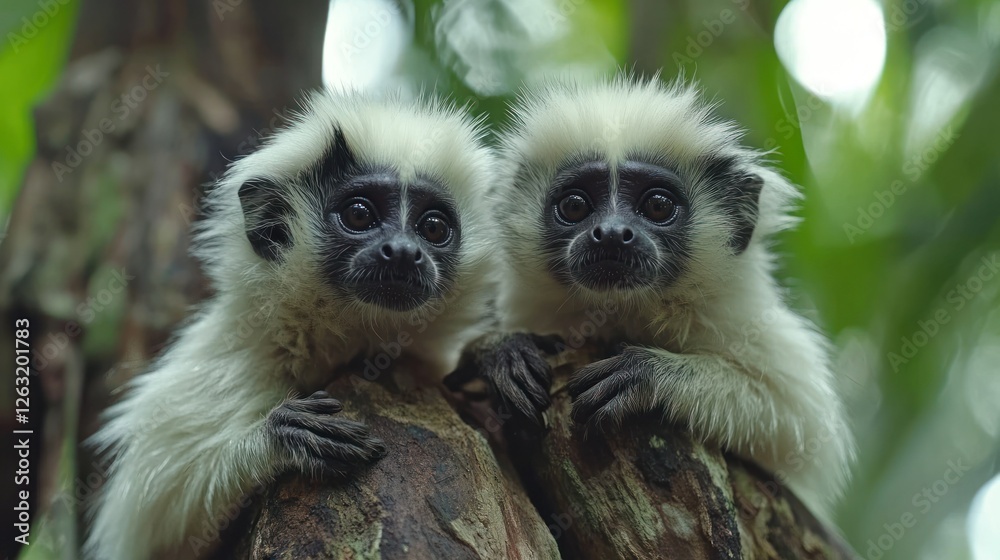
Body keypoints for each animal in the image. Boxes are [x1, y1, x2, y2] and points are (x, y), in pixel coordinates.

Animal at [84, 90, 496, 560]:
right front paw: (279, 440)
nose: (405, 252)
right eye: (359, 215)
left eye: (433, 227)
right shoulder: (235, 367)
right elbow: (152, 532)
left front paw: (500, 360)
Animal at [463, 76, 855, 515]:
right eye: (576, 205)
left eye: (657, 205)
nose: (611, 233)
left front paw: (646, 375)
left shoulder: (747, 322)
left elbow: (800, 424)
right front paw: (501, 354)